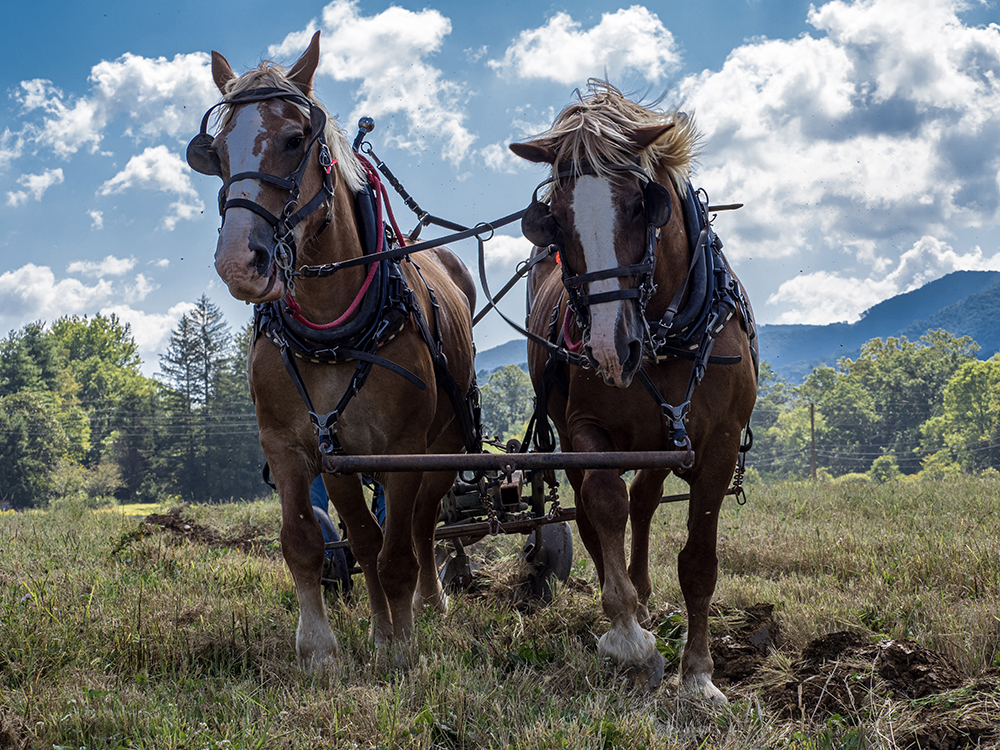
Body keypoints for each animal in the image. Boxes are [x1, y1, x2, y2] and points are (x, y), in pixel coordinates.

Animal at [188, 32, 480, 672]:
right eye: (216, 153)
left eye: (296, 139)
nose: (239, 262)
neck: (330, 329)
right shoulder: (296, 444)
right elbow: (309, 541)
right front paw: (325, 648)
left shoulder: (402, 450)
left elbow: (400, 550)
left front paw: (402, 647)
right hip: (342, 455)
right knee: (370, 536)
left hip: (444, 443)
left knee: (423, 526)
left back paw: (428, 603)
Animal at [512, 83, 752, 704]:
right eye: (556, 220)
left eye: (644, 205)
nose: (608, 349)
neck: (667, 336)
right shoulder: (584, 429)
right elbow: (603, 505)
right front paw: (627, 635)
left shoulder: (717, 442)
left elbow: (698, 560)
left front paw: (699, 676)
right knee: (597, 511)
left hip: (663, 436)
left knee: (644, 498)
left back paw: (644, 592)